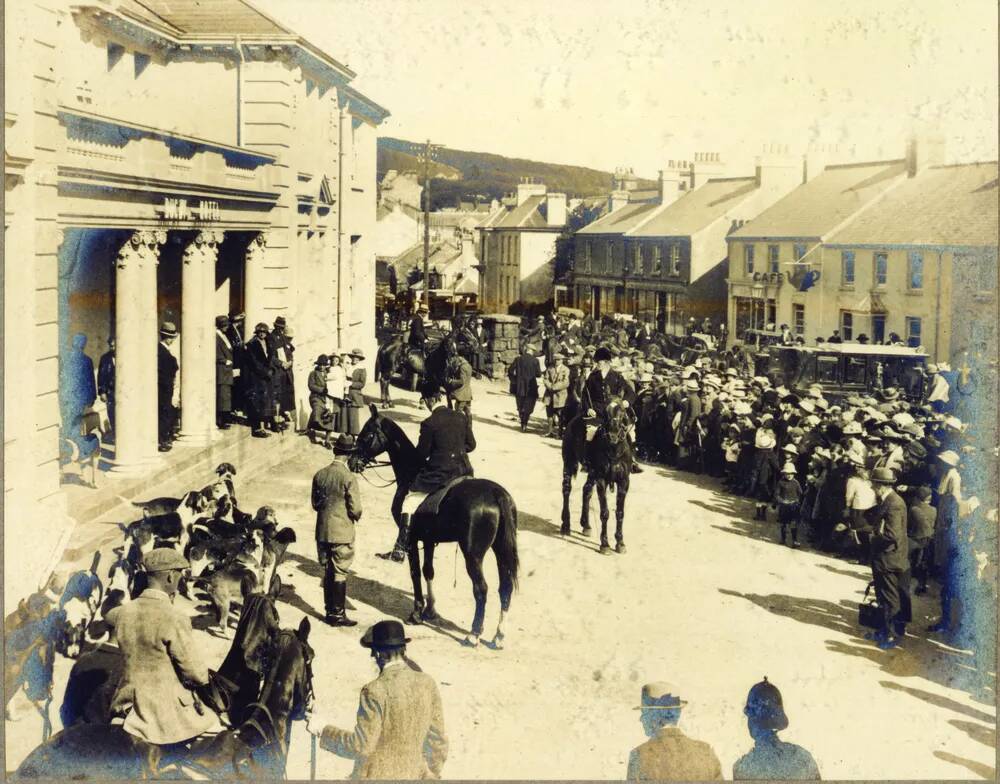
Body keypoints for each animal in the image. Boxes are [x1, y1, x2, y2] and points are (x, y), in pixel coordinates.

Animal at [350, 404, 520, 648]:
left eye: (367, 434)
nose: (352, 462)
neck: (410, 472)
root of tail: (498, 494)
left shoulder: (412, 540)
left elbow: (415, 573)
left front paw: (417, 613)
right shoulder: (429, 539)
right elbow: (428, 571)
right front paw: (431, 610)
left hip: (473, 555)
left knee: (481, 589)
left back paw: (474, 634)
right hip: (500, 549)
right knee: (504, 587)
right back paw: (498, 636)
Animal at [556, 398, 632, 556]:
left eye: (622, 411)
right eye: (605, 412)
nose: (612, 435)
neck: (614, 450)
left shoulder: (624, 482)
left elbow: (620, 513)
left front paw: (620, 543)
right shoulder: (602, 480)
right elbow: (605, 513)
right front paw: (605, 544)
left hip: (592, 473)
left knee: (586, 490)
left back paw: (586, 525)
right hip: (569, 462)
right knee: (566, 490)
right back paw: (565, 525)